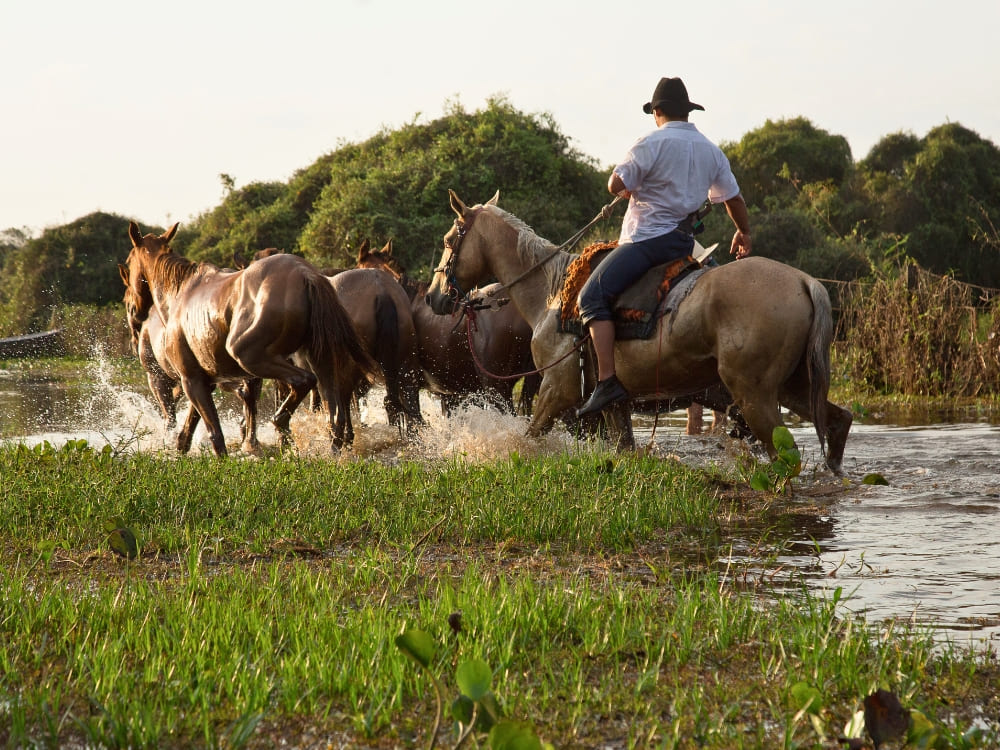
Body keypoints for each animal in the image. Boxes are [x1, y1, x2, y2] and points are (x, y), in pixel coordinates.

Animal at [120, 222, 376, 458]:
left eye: (128, 263)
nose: (132, 308)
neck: (180, 293)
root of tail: (307, 275)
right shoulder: (204, 381)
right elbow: (189, 428)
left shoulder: (191, 379)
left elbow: (215, 432)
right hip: (322, 363)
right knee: (335, 416)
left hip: (251, 358)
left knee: (302, 382)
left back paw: (280, 429)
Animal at [422, 191, 852, 472]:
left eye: (448, 240)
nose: (433, 296)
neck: (551, 290)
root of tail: (804, 282)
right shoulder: (614, 402)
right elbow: (623, 447)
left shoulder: (557, 388)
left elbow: (529, 436)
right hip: (792, 386)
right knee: (838, 421)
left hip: (754, 395)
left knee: (787, 454)